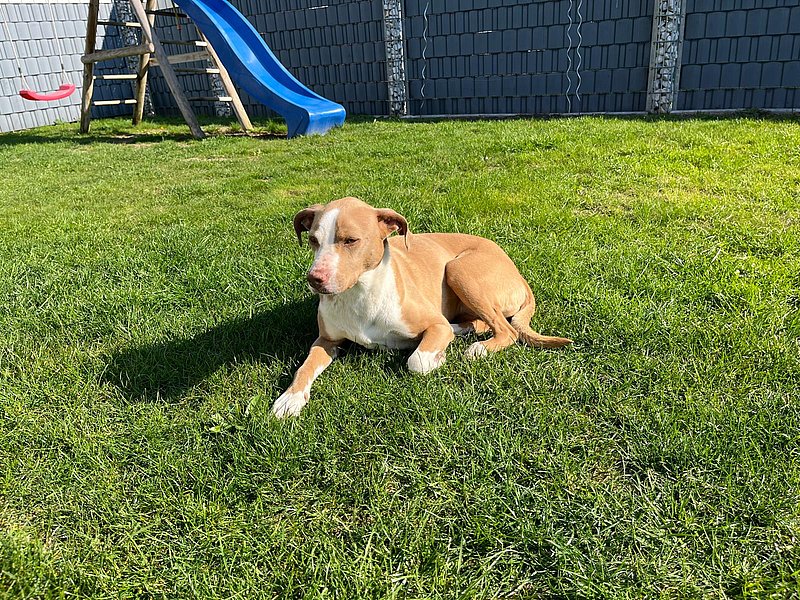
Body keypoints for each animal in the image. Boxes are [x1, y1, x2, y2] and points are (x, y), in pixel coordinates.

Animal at [272, 197, 572, 417]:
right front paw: (289, 398)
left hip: (458, 269)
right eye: (313, 240)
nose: (314, 279)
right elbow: (305, 366)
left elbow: (416, 361)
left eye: (350, 240)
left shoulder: (433, 325)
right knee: (482, 322)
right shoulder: (326, 341)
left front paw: (437, 358)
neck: (358, 294)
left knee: (506, 330)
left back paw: (478, 348)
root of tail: (517, 272)